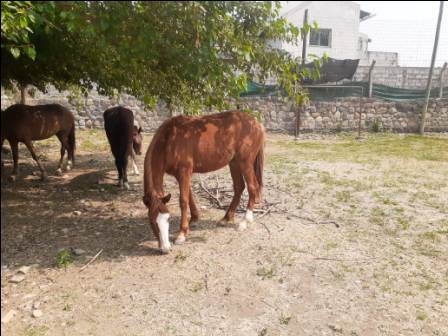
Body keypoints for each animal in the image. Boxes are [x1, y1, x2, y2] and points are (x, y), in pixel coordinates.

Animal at [142, 111, 264, 253]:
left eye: (168, 219)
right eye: (151, 221)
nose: (166, 248)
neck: (170, 139)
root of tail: (256, 123)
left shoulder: (184, 171)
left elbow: (183, 200)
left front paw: (182, 234)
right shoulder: (180, 175)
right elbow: (189, 196)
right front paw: (194, 219)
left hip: (245, 163)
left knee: (252, 187)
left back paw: (245, 221)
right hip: (234, 163)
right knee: (239, 187)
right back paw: (226, 218)